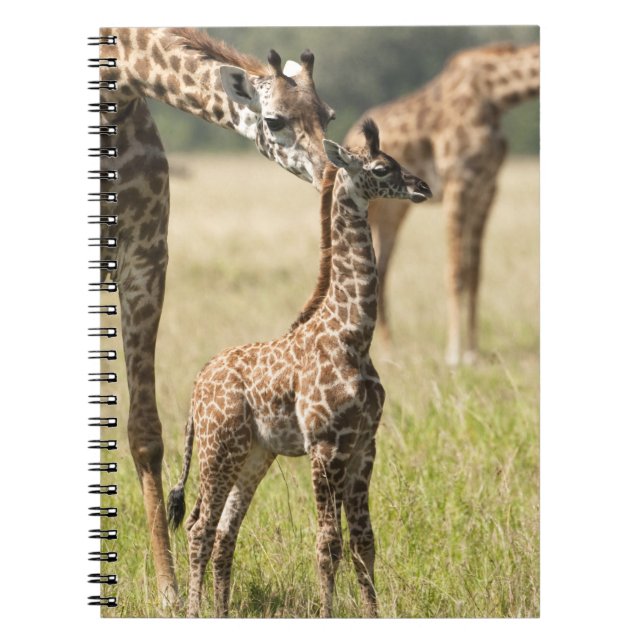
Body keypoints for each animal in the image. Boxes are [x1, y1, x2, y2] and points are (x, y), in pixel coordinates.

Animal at [95, 27, 335, 605]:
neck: (118, 84)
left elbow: (144, 430)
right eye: (276, 120)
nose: (332, 172)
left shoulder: (146, 257)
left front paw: (168, 591)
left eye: (329, 114)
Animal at [166, 119, 432, 618]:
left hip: (253, 455)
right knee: (199, 528)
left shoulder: (364, 445)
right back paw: (194, 611)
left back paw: (220, 611)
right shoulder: (325, 446)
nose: (423, 187)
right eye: (381, 168)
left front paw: (373, 613)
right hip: (217, 449)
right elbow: (328, 543)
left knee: (224, 532)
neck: (352, 335)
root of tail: (196, 385)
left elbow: (364, 543)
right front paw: (328, 613)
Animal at [344, 42, 540, 365]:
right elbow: (456, 271)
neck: (497, 95)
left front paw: (472, 353)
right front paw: (453, 354)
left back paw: (389, 350)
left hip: (394, 209)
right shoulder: (457, 182)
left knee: (381, 268)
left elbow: (475, 273)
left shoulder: (487, 188)